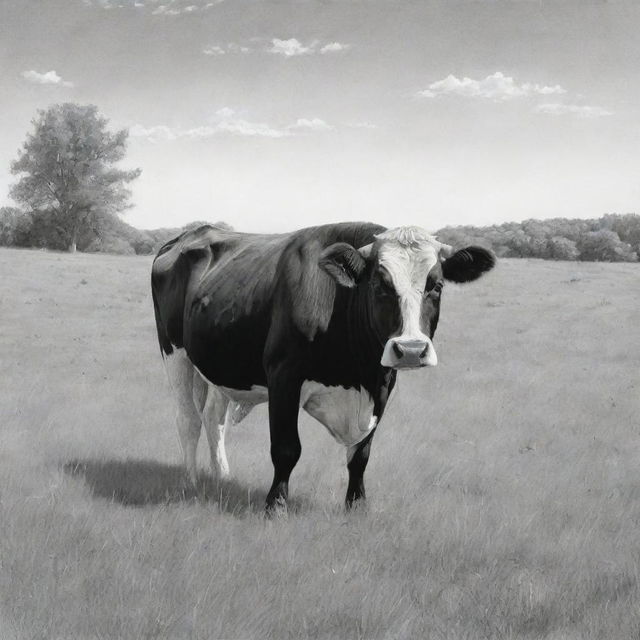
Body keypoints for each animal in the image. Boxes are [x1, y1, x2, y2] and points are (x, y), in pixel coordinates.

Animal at [151, 222, 496, 512]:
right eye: (379, 285)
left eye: (436, 286)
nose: (411, 349)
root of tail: (193, 232)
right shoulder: (283, 377)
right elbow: (286, 449)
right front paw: (276, 506)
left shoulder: (382, 384)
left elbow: (360, 455)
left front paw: (356, 507)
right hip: (175, 353)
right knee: (188, 419)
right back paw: (191, 483)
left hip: (220, 366)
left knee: (214, 419)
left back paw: (221, 476)